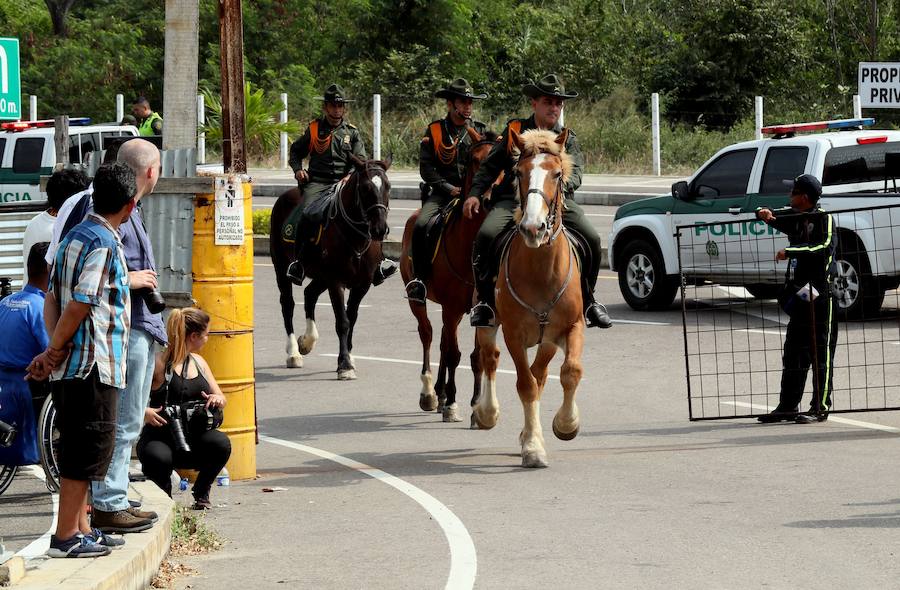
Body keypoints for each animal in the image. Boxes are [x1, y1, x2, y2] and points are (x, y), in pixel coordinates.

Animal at [270, 157, 390, 380]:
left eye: (388, 186)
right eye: (365, 188)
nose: (379, 229)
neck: (355, 237)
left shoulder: (362, 285)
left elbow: (352, 318)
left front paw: (348, 357)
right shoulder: (336, 282)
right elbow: (342, 322)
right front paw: (345, 365)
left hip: (320, 276)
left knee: (309, 294)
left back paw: (307, 340)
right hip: (281, 268)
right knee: (288, 304)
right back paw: (293, 352)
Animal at [400, 128, 500, 426]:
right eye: (476, 160)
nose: (489, 198)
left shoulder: (480, 309)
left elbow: (477, 357)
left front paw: (477, 405)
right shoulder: (452, 307)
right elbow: (454, 353)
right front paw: (454, 404)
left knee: (443, 341)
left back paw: (441, 392)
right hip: (418, 299)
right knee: (428, 335)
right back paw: (430, 394)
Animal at [472, 127, 584, 470]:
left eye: (558, 174)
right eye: (518, 173)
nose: (533, 227)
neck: (541, 271)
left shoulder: (569, 328)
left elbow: (569, 372)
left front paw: (565, 424)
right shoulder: (514, 334)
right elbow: (525, 384)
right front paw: (533, 447)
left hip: (547, 339)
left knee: (542, 374)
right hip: (487, 321)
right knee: (490, 358)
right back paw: (487, 412)